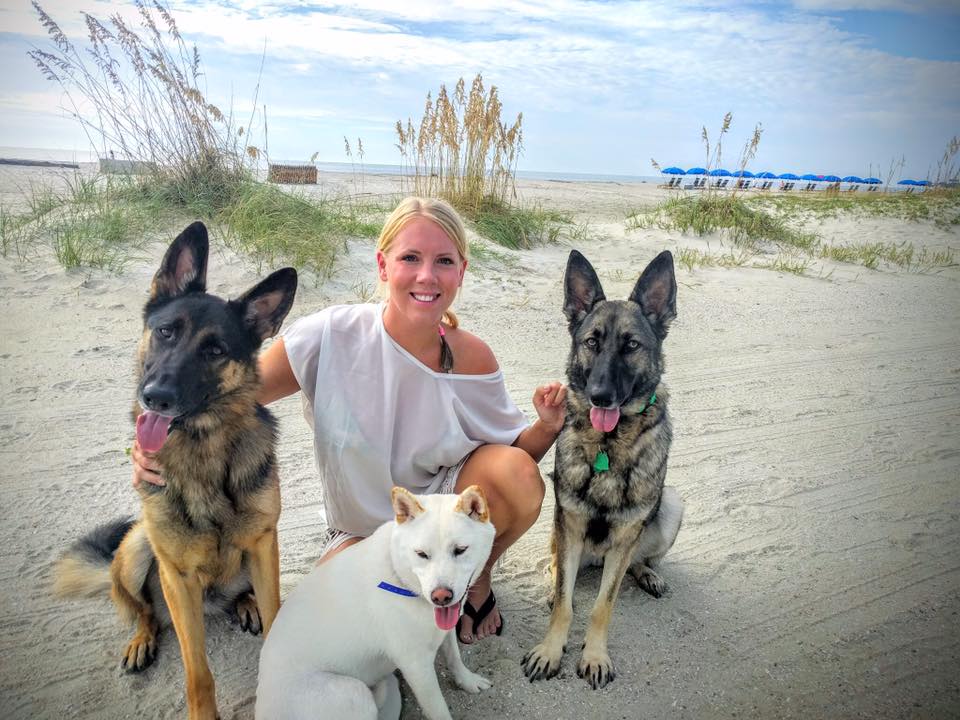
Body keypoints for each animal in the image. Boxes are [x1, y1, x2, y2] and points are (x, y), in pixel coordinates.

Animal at [255, 484, 496, 720]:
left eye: (460, 550)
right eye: (421, 554)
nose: (441, 597)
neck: (400, 577)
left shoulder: (444, 629)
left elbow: (454, 657)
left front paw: (467, 681)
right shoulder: (416, 666)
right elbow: (438, 709)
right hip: (354, 693)